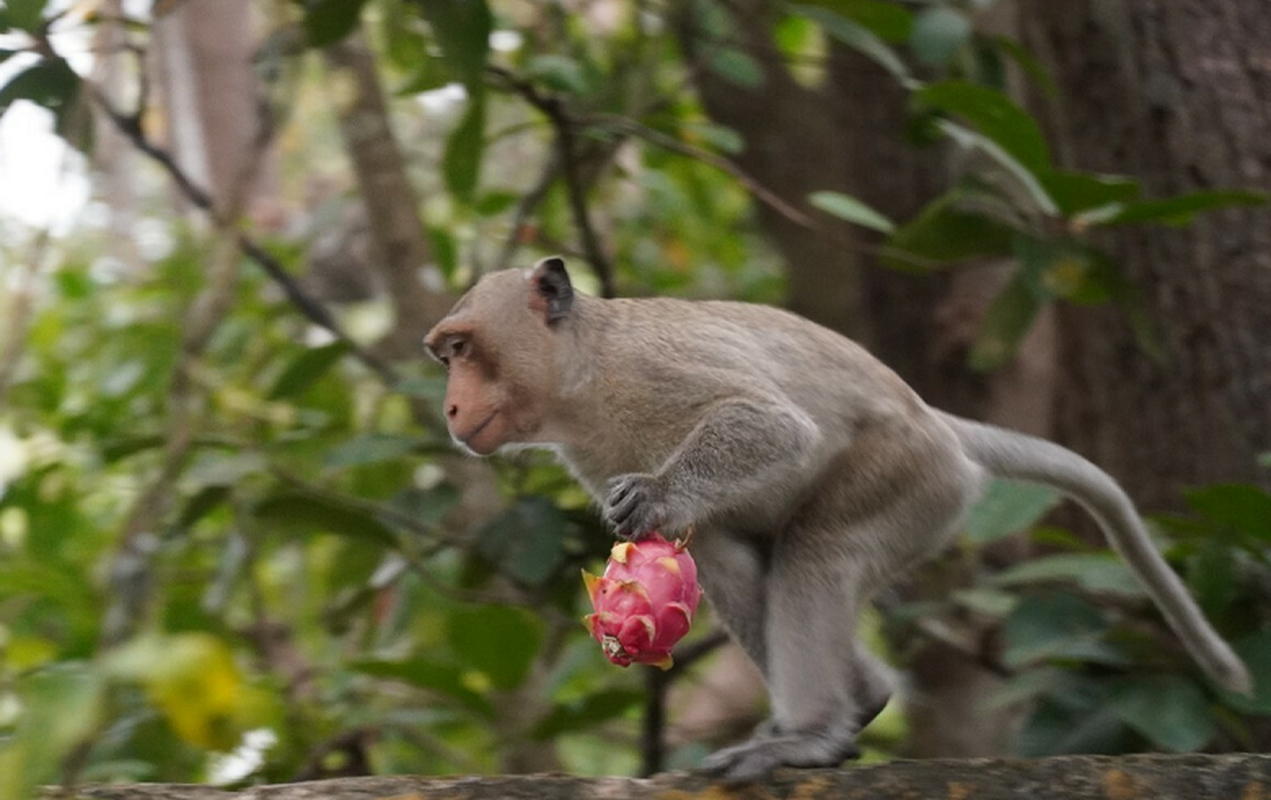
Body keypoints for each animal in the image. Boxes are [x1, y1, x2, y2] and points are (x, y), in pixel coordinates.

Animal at [424, 255, 1250, 778]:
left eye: (462, 348)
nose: (451, 409)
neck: (582, 378)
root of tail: (935, 422)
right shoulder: (586, 453)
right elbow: (703, 540)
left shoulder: (651, 372)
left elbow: (774, 426)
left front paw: (658, 494)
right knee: (735, 560)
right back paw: (860, 699)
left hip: (911, 481)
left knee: (817, 552)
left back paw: (810, 734)